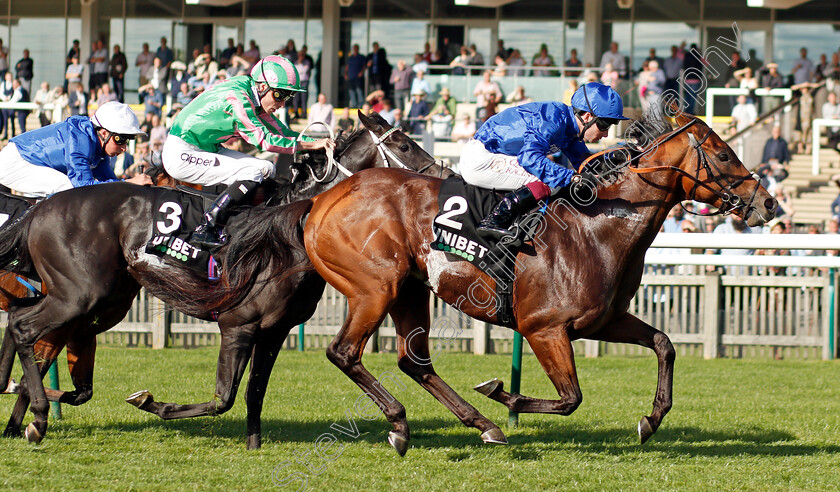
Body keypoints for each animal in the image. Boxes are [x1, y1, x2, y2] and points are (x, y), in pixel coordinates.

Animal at [1, 112, 452, 450]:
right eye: (405, 145)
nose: (444, 176)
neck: (291, 227)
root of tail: (39, 211)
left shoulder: (275, 330)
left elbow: (254, 392)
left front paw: (253, 445)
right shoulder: (238, 324)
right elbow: (224, 398)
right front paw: (152, 403)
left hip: (98, 300)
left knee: (30, 333)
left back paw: (23, 410)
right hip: (80, 295)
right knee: (23, 328)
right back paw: (37, 416)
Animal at [296, 110, 780, 454]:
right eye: (723, 155)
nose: (769, 204)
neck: (597, 225)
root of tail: (323, 200)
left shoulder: (603, 321)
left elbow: (664, 344)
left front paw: (651, 420)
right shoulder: (543, 328)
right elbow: (571, 398)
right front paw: (502, 393)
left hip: (410, 291)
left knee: (414, 362)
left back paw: (480, 426)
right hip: (375, 288)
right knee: (344, 352)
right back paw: (405, 422)